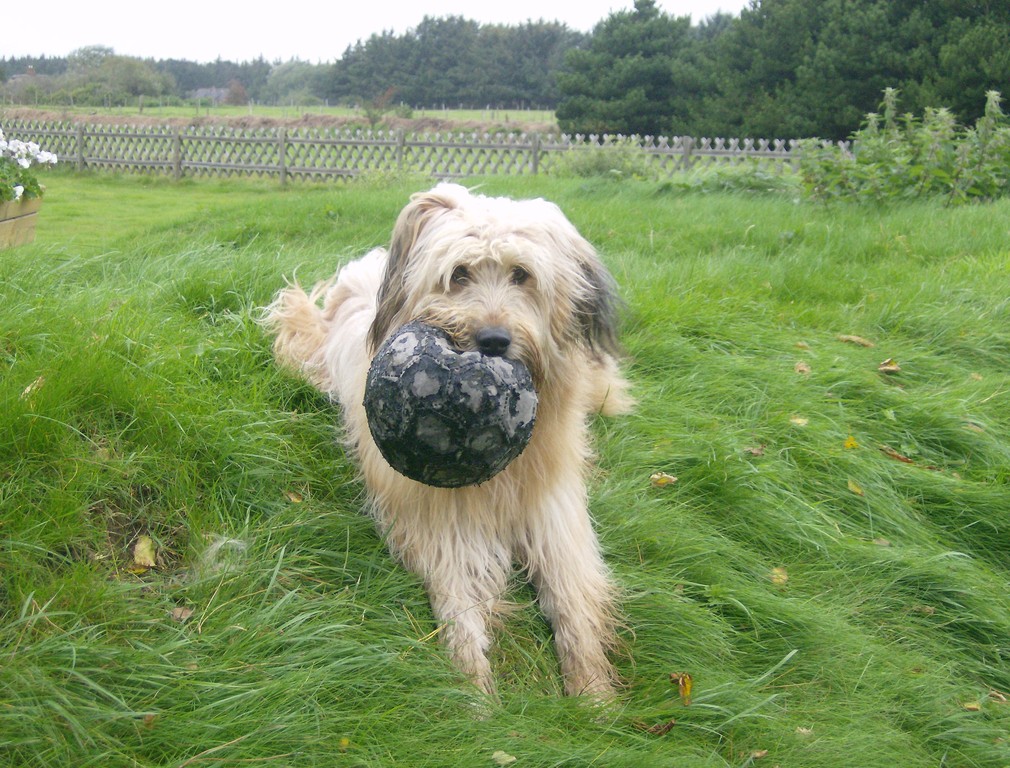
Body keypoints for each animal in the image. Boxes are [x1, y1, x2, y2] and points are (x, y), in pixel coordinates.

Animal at [264, 182, 634, 699]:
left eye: (521, 274)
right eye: (459, 274)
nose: (493, 340)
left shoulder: (554, 512)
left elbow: (571, 599)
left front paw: (593, 692)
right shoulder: (436, 516)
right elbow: (458, 604)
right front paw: (473, 693)